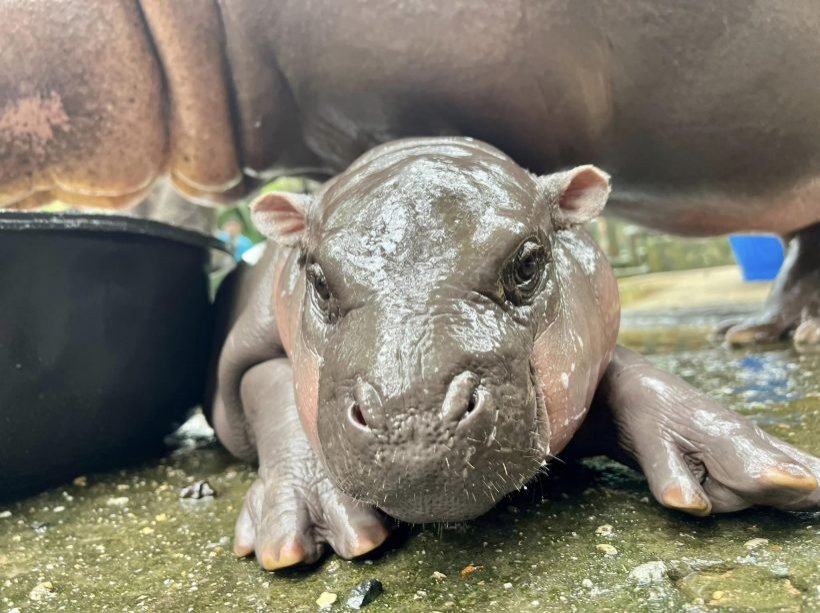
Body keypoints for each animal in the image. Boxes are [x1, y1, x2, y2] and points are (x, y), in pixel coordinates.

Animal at [207, 137, 820, 568]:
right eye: (316, 279)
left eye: (528, 261)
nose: (414, 423)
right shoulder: (250, 349)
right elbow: (269, 389)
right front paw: (303, 531)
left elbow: (630, 374)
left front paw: (781, 471)